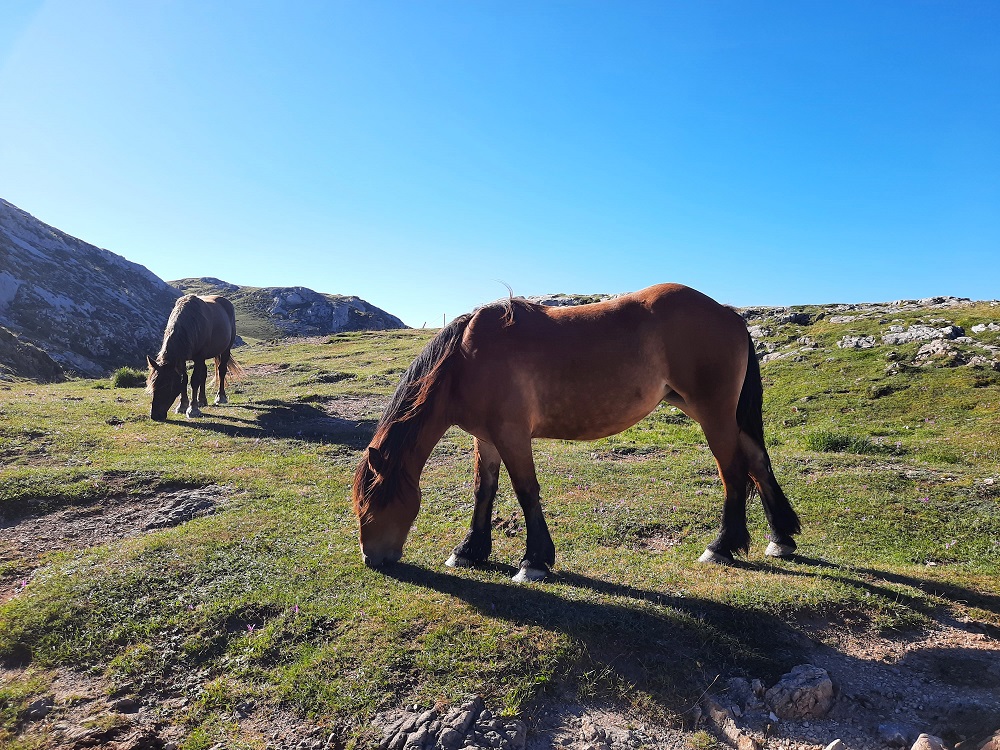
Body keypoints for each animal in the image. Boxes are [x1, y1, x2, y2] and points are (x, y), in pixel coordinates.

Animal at [352, 283, 800, 582]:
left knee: (733, 473)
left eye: (368, 504)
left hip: (713, 413)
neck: (466, 357)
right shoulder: (486, 437)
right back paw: (781, 537)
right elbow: (484, 489)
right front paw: (470, 550)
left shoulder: (512, 433)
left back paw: (722, 546)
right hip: (712, 411)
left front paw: (534, 561)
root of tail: (728, 315)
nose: (372, 559)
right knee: (757, 462)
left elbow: (525, 490)